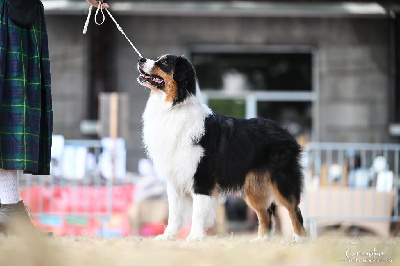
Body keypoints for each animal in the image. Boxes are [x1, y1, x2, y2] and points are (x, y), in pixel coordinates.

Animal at [137, 55, 306, 242]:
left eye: (165, 62)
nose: (140, 59)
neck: (174, 107)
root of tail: (287, 132)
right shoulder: (174, 179)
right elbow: (174, 212)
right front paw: (168, 237)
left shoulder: (202, 177)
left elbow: (198, 212)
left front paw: (194, 237)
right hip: (254, 188)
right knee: (266, 213)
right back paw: (261, 240)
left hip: (282, 180)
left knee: (294, 210)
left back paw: (300, 239)